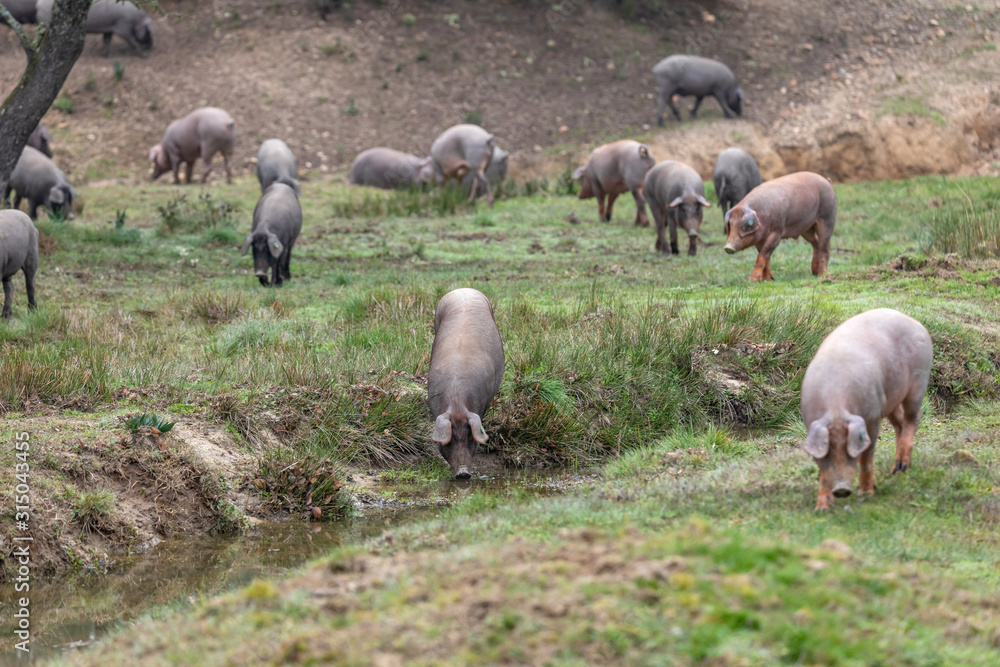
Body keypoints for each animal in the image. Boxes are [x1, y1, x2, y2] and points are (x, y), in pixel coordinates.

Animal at [801, 308, 932, 511]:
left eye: (849, 449)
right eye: (829, 449)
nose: (841, 489)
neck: (836, 404)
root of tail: (914, 321)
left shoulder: (872, 417)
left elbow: (866, 456)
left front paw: (866, 493)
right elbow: (822, 470)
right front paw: (822, 508)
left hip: (919, 381)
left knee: (913, 418)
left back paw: (902, 465)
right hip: (888, 399)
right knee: (900, 423)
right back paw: (896, 470)